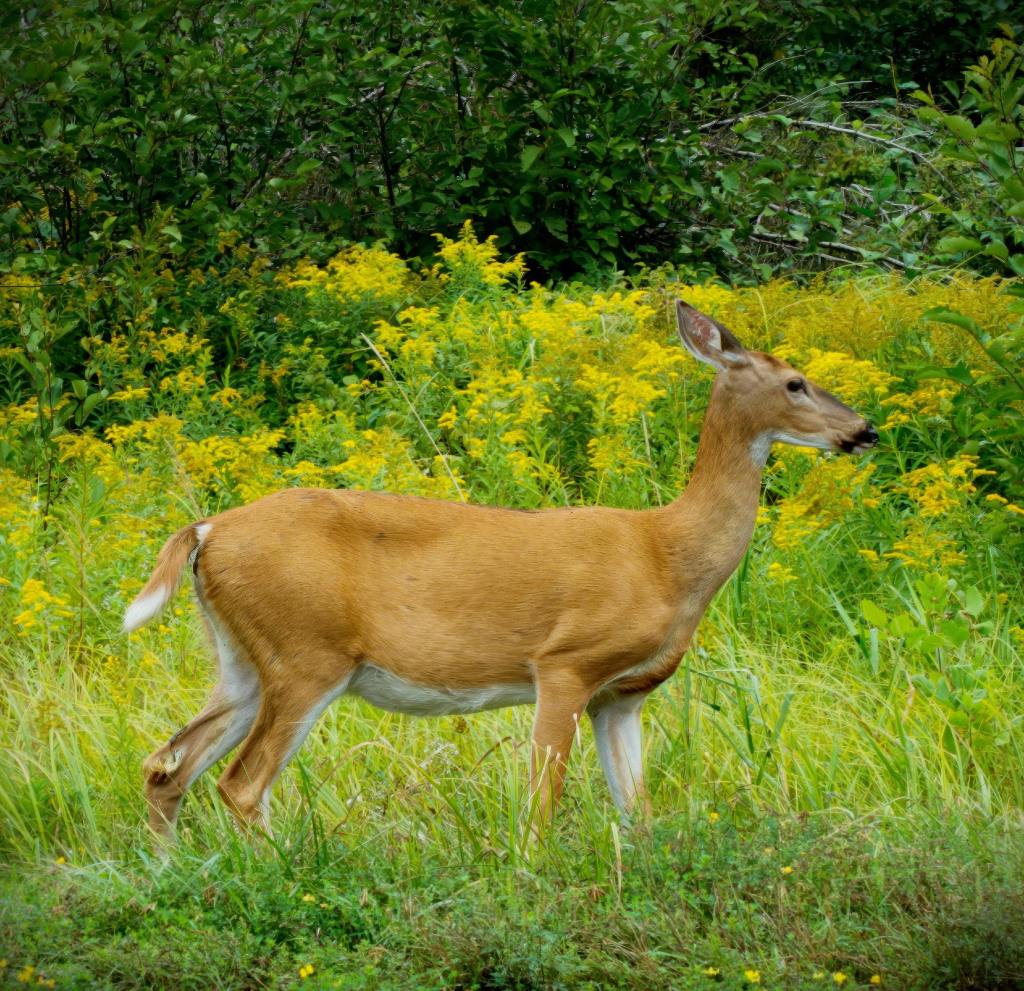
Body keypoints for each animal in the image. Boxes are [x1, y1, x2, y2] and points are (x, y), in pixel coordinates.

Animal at [125, 300, 878, 844]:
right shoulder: (565, 661)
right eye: (794, 381)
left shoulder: (624, 695)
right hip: (306, 652)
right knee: (240, 783)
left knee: (167, 766)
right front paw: (532, 874)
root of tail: (207, 530)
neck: (667, 554)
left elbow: (637, 811)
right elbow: (542, 803)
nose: (864, 429)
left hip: (243, 659)